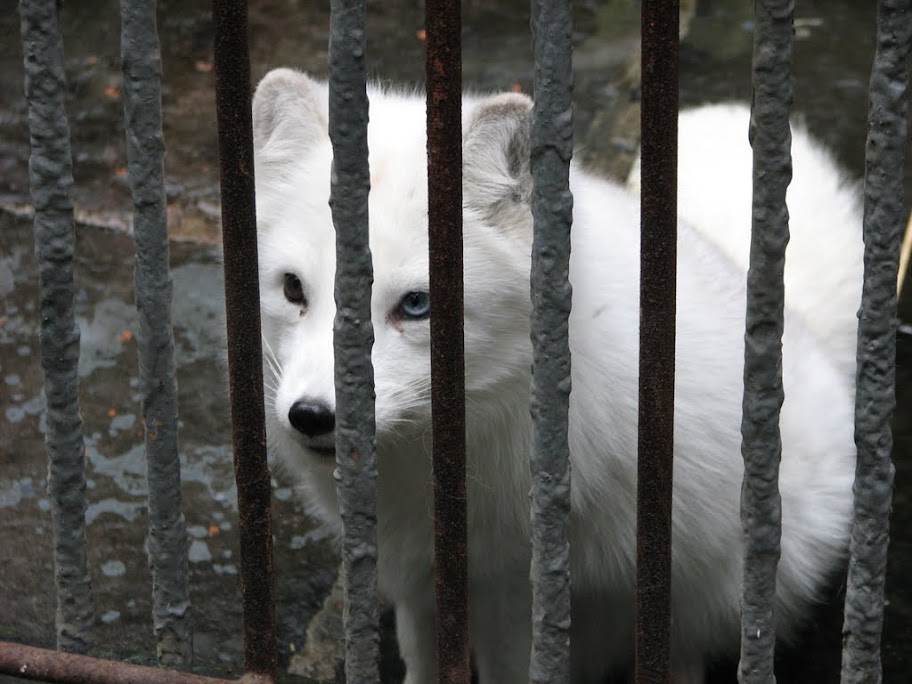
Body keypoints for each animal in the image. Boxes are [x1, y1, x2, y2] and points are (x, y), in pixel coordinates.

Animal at [251, 68, 857, 683]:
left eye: (417, 305)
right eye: (294, 288)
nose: (311, 416)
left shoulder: (510, 584)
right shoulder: (415, 572)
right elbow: (423, 655)